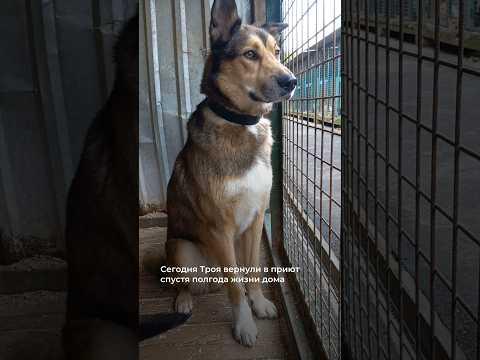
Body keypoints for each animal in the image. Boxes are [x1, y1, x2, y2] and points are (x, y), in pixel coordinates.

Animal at [166, 0, 296, 348]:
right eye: (250, 54)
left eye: (277, 52)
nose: (291, 82)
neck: (242, 123)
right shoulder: (219, 228)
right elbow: (235, 285)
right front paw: (244, 324)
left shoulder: (254, 219)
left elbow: (251, 271)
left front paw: (260, 303)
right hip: (181, 249)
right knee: (183, 282)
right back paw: (184, 300)